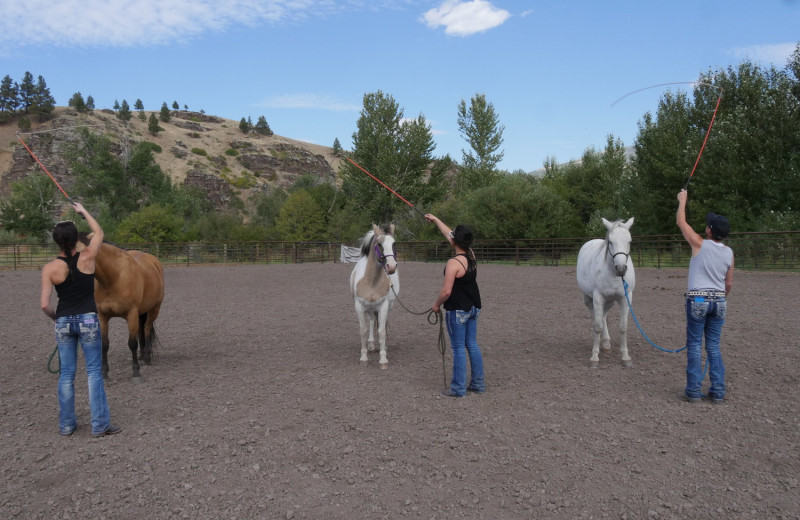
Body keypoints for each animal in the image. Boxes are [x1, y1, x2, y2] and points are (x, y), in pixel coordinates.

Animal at [78, 234, 166, 384]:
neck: (113, 278)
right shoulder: (102, 316)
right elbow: (104, 344)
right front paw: (104, 373)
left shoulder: (131, 314)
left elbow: (132, 343)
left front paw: (136, 373)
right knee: (141, 331)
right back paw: (141, 355)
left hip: (154, 309)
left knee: (147, 329)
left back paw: (147, 357)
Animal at [350, 225, 400, 368]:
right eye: (379, 244)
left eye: (394, 243)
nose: (391, 267)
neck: (371, 280)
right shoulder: (359, 306)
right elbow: (363, 330)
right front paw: (364, 357)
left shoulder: (383, 305)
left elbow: (382, 330)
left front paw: (383, 359)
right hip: (370, 307)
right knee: (372, 321)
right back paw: (371, 344)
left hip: (386, 306)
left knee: (381, 323)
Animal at [576, 217, 636, 368]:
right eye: (611, 242)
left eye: (629, 241)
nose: (621, 269)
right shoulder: (598, 298)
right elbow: (597, 326)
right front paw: (594, 357)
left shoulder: (625, 298)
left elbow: (623, 327)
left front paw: (625, 357)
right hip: (589, 299)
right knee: (595, 318)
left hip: (610, 301)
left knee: (603, 316)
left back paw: (606, 343)